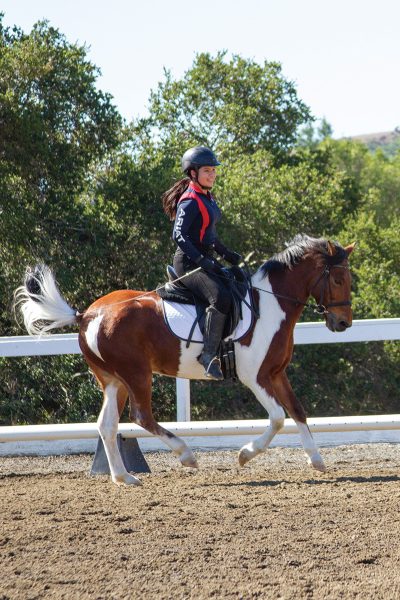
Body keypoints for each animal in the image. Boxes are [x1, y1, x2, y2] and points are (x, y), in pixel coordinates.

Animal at [14, 234, 354, 488]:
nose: (343, 324)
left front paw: (316, 459)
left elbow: (297, 411)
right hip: (136, 374)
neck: (270, 304)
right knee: (141, 416)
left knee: (107, 425)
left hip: (114, 380)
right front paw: (245, 455)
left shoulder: (276, 373)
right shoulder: (255, 377)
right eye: (338, 279)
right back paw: (186, 455)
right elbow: (278, 417)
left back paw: (124, 477)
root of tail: (87, 314)